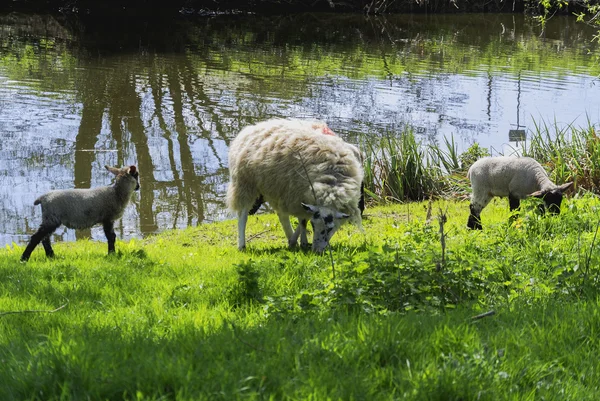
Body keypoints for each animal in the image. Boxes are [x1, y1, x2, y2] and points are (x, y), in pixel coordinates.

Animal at [226, 117, 364, 252]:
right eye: (314, 226)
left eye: (330, 228)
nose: (317, 251)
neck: (333, 182)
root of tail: (251, 128)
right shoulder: (299, 195)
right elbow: (303, 220)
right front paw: (300, 242)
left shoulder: (302, 196)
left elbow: (303, 218)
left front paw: (300, 242)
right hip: (245, 184)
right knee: (243, 215)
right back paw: (242, 245)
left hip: (276, 187)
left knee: (282, 215)